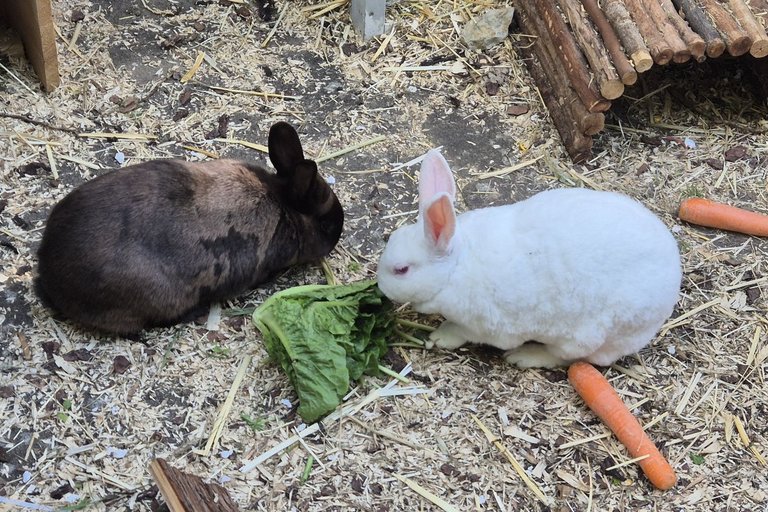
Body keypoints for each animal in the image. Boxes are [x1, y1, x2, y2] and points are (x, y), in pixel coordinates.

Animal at [377, 149, 681, 368]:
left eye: (402, 269)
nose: (380, 287)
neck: (456, 266)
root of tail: (672, 281)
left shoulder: (483, 326)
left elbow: (460, 332)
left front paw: (440, 337)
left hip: (586, 336)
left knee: (568, 358)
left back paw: (525, 357)